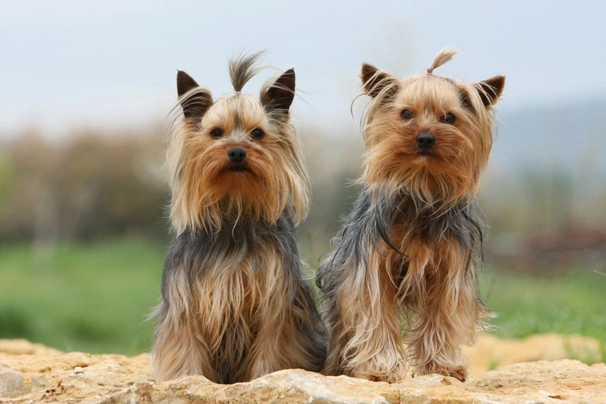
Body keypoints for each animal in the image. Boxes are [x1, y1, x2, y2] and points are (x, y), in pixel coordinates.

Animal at [154, 52, 330, 382]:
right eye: (216, 133)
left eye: (257, 133)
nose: (236, 152)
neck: (235, 210)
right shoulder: (186, 304)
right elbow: (187, 348)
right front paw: (189, 378)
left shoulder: (277, 303)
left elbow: (272, 349)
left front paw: (266, 378)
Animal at [318, 49, 508, 384]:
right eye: (406, 114)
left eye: (449, 117)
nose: (425, 137)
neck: (422, 185)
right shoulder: (373, 271)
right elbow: (377, 316)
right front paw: (379, 370)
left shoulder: (448, 271)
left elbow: (441, 317)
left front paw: (443, 366)